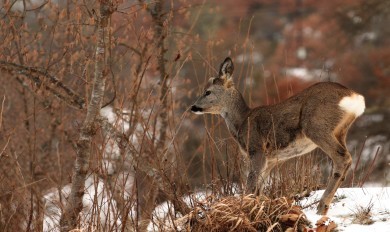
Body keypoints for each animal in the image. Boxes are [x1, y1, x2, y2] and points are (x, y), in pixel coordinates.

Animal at [192, 57, 366, 214]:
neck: (242, 122)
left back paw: (321, 206)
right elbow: (259, 188)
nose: (193, 107)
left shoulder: (257, 149)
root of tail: (354, 97)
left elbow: (251, 185)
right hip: (340, 131)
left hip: (316, 126)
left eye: (207, 92)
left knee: (342, 157)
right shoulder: (271, 159)